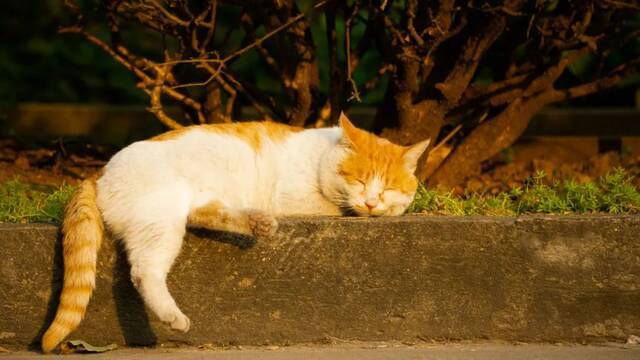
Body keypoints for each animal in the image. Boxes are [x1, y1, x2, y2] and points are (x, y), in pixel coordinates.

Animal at [40, 112, 430, 352]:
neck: (320, 158)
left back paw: (257, 222)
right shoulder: (297, 198)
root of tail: (98, 173)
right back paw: (173, 317)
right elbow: (337, 207)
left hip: (183, 210)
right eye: (360, 180)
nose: (371, 202)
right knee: (144, 271)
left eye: (388, 186)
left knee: (202, 214)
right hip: (160, 220)